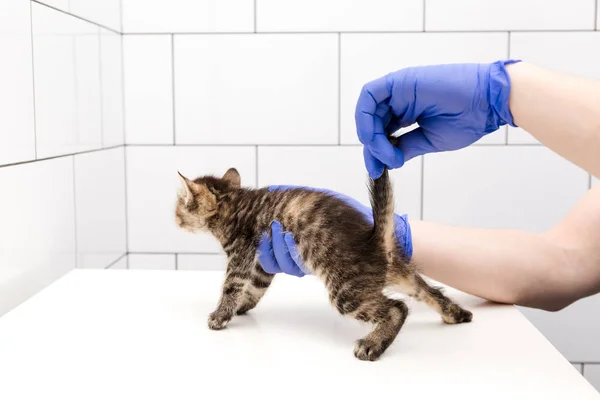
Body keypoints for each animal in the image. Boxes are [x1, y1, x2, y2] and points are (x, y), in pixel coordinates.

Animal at [176, 167, 472, 360]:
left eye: (181, 203)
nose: (174, 217)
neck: (234, 203)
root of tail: (376, 238)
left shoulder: (241, 252)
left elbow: (231, 286)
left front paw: (221, 315)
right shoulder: (264, 260)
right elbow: (256, 286)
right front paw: (242, 306)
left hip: (346, 292)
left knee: (397, 308)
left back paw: (373, 344)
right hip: (402, 274)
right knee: (428, 291)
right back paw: (455, 314)